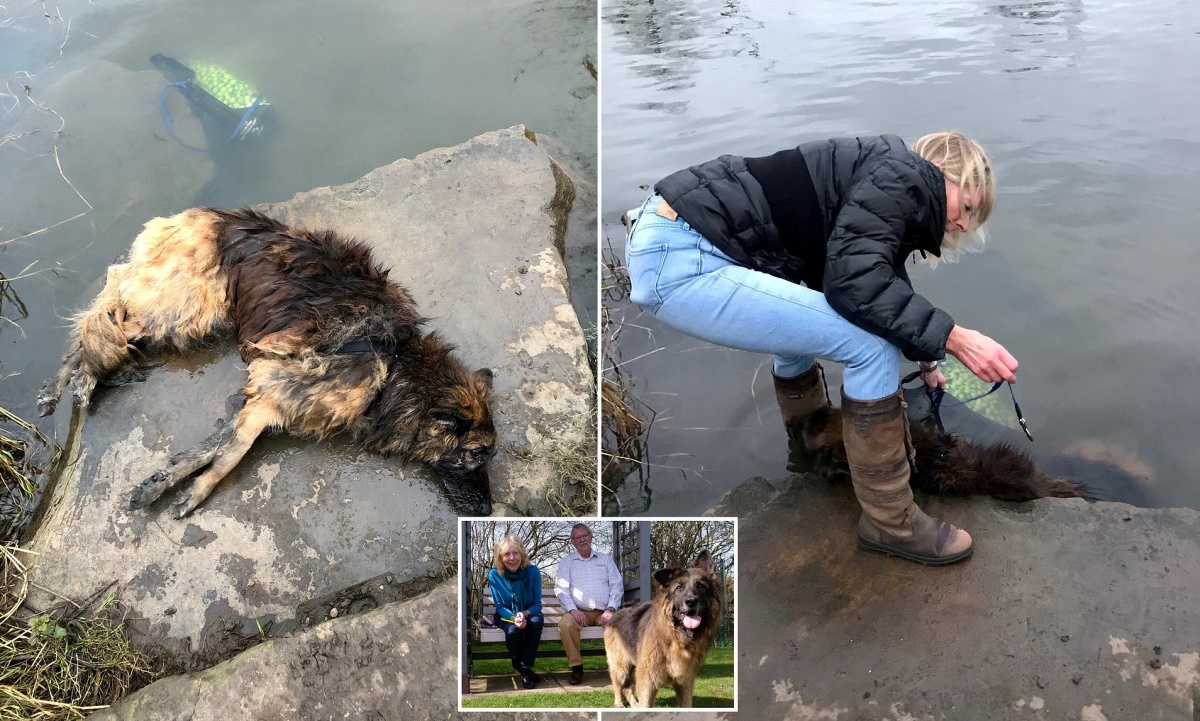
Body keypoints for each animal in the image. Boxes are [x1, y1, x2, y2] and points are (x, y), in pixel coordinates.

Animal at [37, 207, 496, 518]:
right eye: (478, 455)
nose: (489, 512)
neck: (395, 364)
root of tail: (202, 217)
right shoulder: (274, 387)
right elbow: (232, 452)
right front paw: (192, 490)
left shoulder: (270, 391)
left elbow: (216, 444)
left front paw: (168, 479)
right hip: (185, 308)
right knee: (108, 308)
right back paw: (78, 381)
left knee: (107, 317)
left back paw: (63, 386)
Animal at [609, 549, 720, 705]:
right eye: (679, 588)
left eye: (701, 586)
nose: (691, 601)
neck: (676, 637)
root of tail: (617, 613)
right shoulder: (647, 681)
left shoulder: (685, 683)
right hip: (622, 667)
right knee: (618, 686)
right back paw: (619, 704)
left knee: (627, 689)